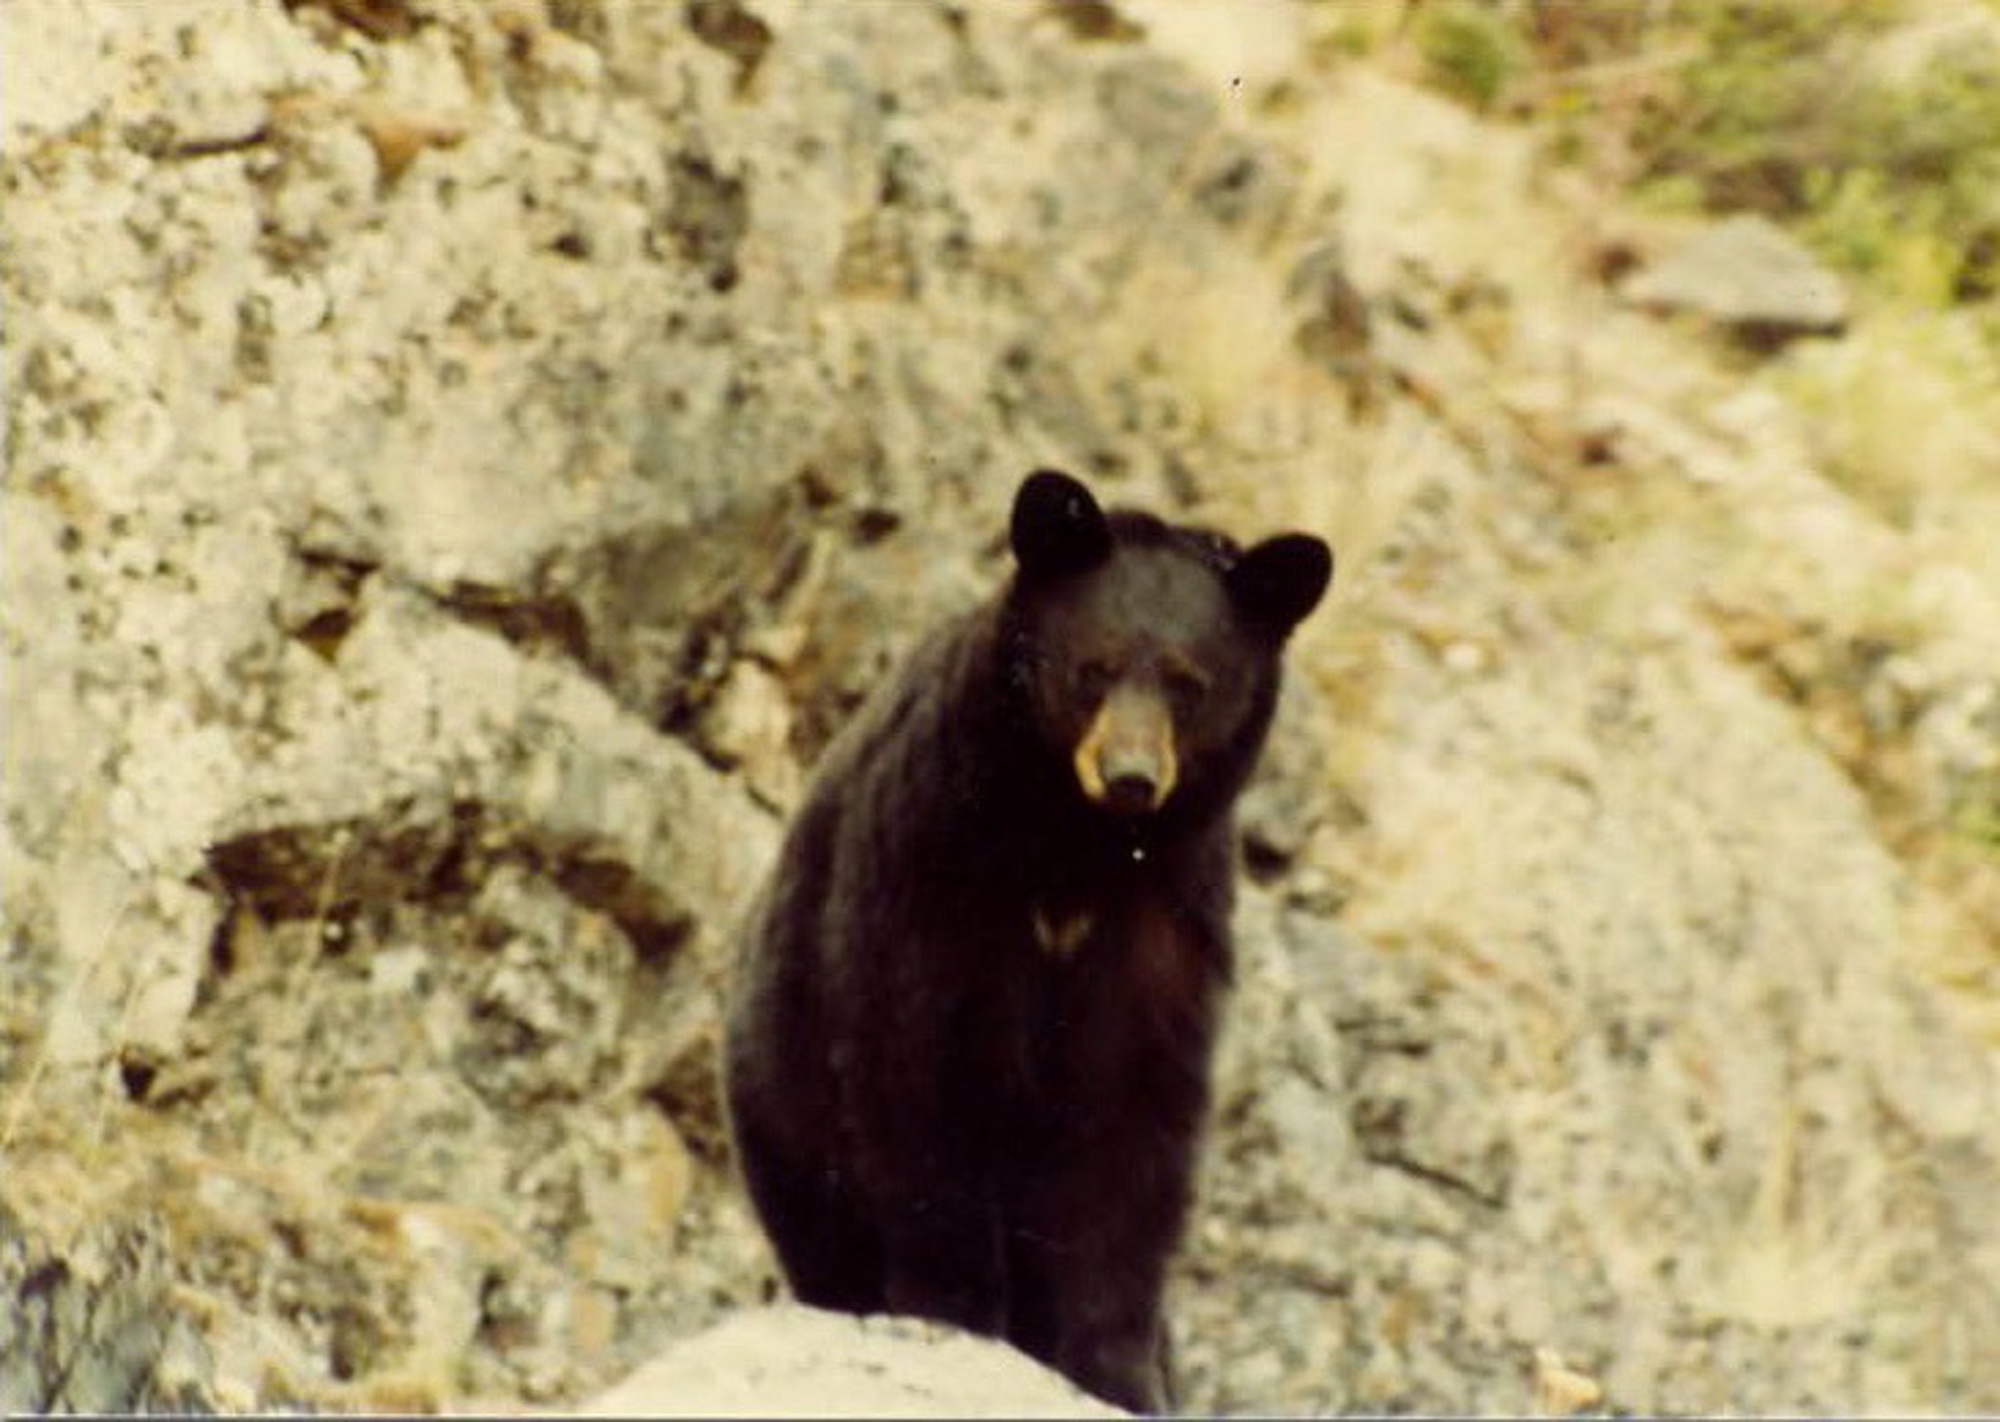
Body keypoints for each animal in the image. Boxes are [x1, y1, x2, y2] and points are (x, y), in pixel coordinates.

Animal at [721, 469, 1332, 1413]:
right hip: (782, 1102)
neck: (1073, 851)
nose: (1130, 778)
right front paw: (956, 1310)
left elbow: (1132, 1125)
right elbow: (916, 1071)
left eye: (1189, 682)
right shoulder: (932, 860)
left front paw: (1119, 1369)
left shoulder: (1166, 917)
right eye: (1096, 666)